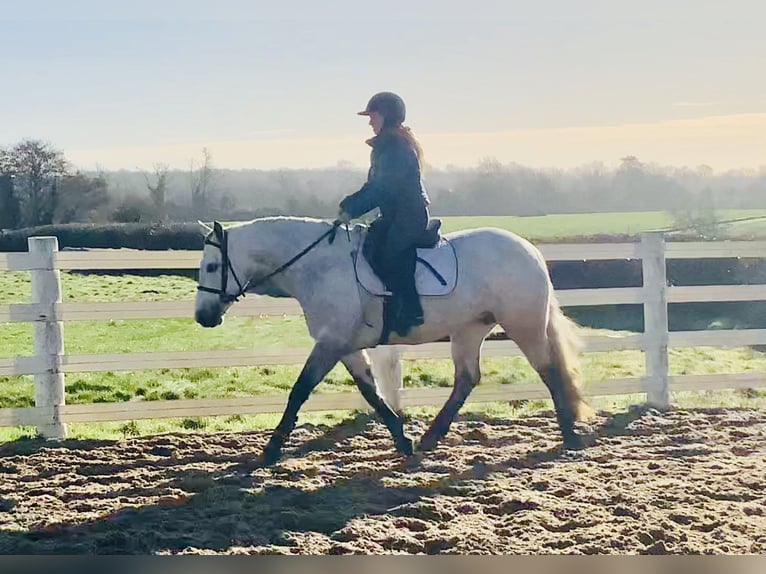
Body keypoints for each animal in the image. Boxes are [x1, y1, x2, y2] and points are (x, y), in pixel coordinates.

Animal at [194, 216, 594, 466]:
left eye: (212, 267)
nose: (203, 317)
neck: (319, 267)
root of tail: (530, 250)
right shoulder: (345, 345)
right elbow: (371, 392)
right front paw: (402, 439)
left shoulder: (330, 342)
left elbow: (300, 390)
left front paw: (271, 450)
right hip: (469, 330)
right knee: (467, 379)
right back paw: (432, 437)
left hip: (523, 325)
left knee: (548, 371)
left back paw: (569, 436)